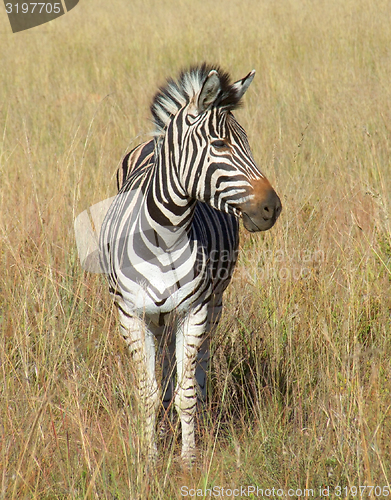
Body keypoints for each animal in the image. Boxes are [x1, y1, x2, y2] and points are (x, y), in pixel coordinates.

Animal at [99, 64, 282, 462]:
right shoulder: (130, 314)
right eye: (221, 145)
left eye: (247, 142)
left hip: (214, 303)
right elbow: (147, 393)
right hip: (156, 315)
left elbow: (186, 393)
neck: (164, 237)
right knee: (164, 365)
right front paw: (150, 458)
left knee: (197, 367)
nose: (272, 208)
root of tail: (151, 141)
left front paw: (188, 459)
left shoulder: (194, 309)